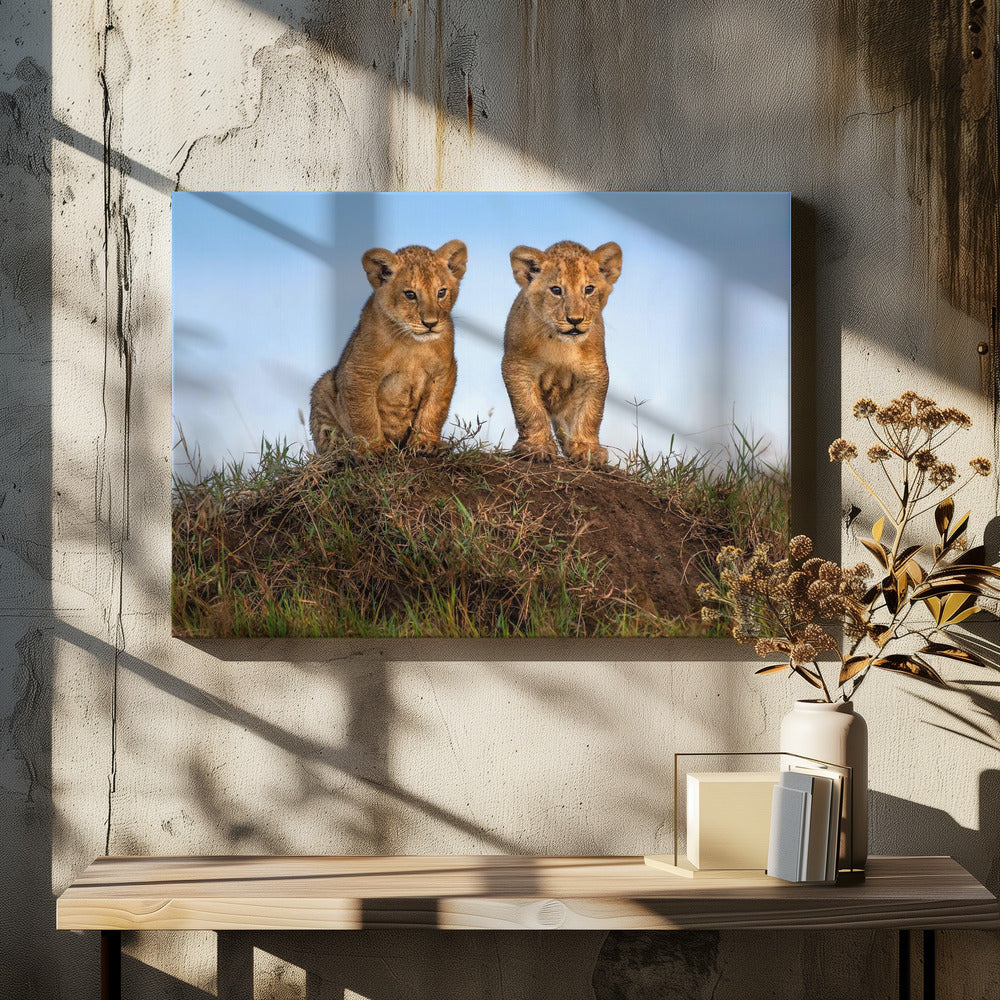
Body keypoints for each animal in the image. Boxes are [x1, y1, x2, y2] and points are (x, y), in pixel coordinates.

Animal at [309, 240, 468, 454]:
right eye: (410, 294)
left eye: (441, 292)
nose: (431, 323)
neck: (412, 343)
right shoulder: (359, 371)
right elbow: (365, 414)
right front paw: (375, 448)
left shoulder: (444, 370)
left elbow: (433, 409)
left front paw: (424, 443)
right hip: (323, 386)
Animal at [500, 240, 622, 464]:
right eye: (556, 290)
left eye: (589, 289)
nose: (575, 320)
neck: (561, 345)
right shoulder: (518, 366)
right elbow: (529, 410)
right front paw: (536, 447)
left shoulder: (594, 371)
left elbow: (591, 412)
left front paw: (587, 449)